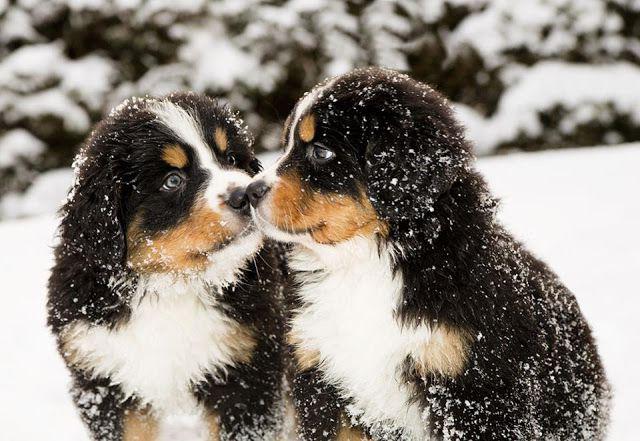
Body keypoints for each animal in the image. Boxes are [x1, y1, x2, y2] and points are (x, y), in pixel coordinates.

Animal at [50, 91, 288, 438]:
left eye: (231, 158)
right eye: (172, 180)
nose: (244, 194)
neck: (171, 286)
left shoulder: (245, 374)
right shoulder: (103, 378)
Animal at [245, 67, 608, 438]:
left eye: (320, 152)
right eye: (287, 144)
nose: (250, 192)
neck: (363, 263)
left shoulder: (472, 388)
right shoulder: (321, 379)